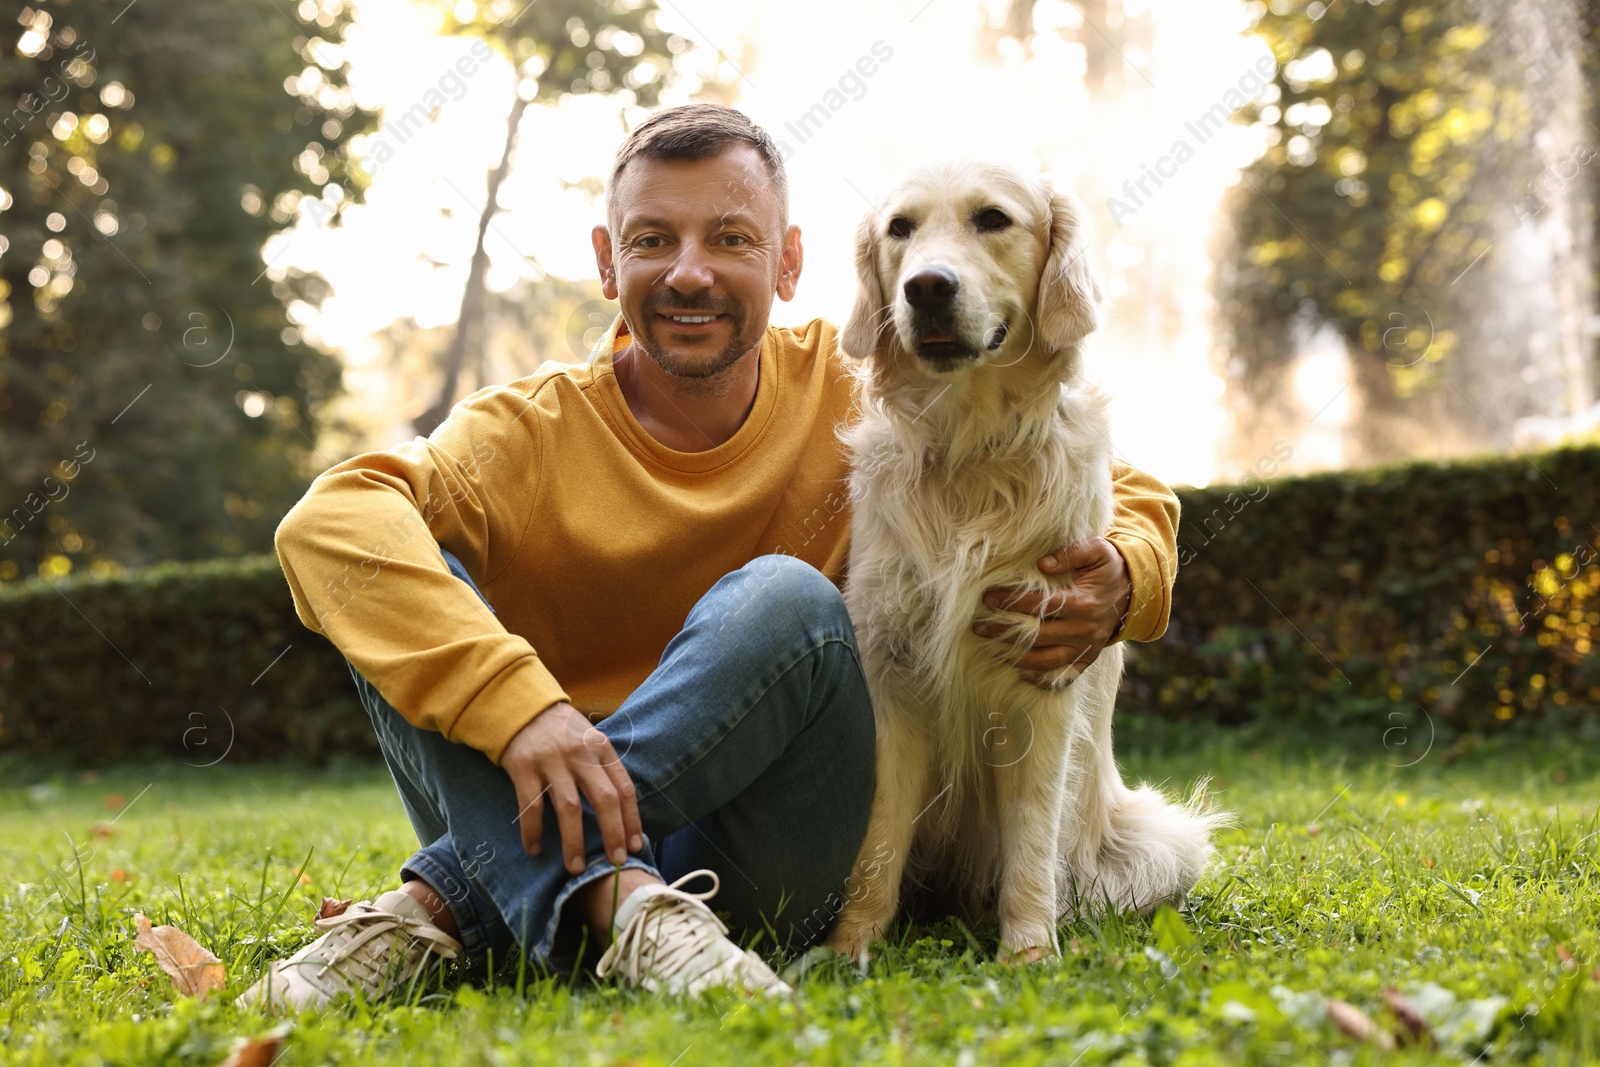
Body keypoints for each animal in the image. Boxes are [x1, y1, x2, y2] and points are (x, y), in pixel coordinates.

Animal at [825, 163, 1222, 966]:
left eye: (993, 219)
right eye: (900, 229)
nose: (927, 288)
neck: (969, 453)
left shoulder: (1042, 681)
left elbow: (1033, 841)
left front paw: (1030, 952)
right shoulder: (893, 676)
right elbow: (876, 843)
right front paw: (850, 948)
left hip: (1162, 839)